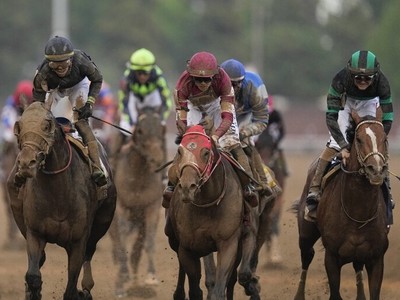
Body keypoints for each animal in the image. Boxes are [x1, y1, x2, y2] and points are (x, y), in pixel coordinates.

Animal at [7, 99, 116, 300]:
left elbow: (71, 288)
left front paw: (81, 292)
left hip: (102, 223)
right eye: (19, 126)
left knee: (89, 253)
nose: (26, 163)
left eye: (47, 125)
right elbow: (33, 276)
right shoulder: (35, 233)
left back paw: (86, 287)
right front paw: (32, 290)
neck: (57, 194)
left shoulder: (78, 240)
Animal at [108, 105, 166, 296]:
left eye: (161, 128)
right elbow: (122, 240)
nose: (156, 158)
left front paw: (151, 276)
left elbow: (148, 242)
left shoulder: (152, 207)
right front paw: (122, 279)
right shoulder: (121, 208)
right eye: (139, 130)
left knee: (136, 250)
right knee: (117, 242)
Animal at [292, 110, 390, 300]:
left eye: (384, 139)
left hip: (358, 256)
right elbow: (335, 293)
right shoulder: (331, 257)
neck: (358, 212)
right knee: (307, 256)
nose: (376, 170)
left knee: (357, 267)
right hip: (306, 234)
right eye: (358, 139)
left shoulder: (376, 258)